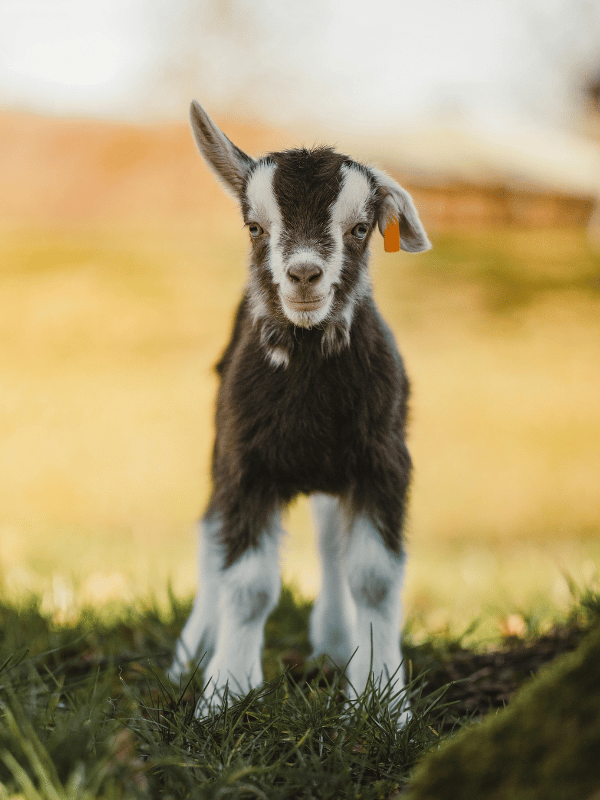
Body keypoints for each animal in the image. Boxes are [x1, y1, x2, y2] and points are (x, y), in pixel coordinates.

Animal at [169, 101, 431, 719]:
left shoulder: (383, 461)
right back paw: (191, 654)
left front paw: (382, 704)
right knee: (210, 534)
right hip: (218, 443)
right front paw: (225, 695)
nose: (305, 275)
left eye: (359, 229)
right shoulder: (245, 461)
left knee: (329, 540)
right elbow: (248, 585)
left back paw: (335, 644)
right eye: (254, 226)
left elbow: (374, 577)